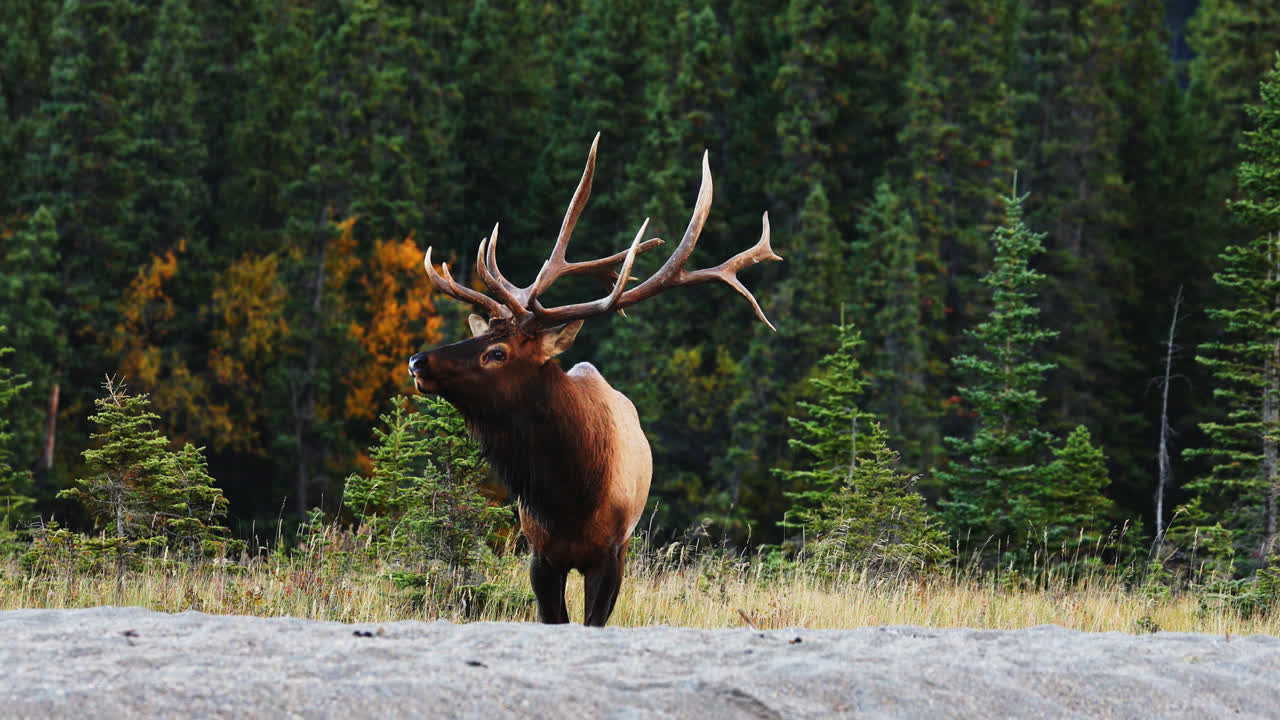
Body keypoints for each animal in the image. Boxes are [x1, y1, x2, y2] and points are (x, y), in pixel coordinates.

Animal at [407, 134, 780, 626]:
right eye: (481, 334)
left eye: (497, 352)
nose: (417, 361)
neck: (569, 496)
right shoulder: (541, 555)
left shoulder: (611, 554)